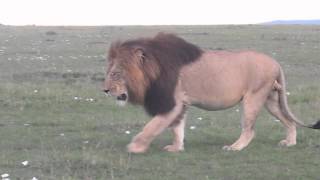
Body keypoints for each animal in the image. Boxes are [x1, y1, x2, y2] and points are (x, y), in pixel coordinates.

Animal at [104, 32, 318, 153]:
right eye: (108, 73)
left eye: (115, 73)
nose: (104, 90)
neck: (153, 68)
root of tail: (275, 62)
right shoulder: (181, 103)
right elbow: (177, 128)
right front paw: (176, 148)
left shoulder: (172, 102)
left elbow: (152, 126)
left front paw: (135, 147)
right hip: (271, 100)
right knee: (289, 121)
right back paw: (289, 143)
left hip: (253, 97)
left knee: (249, 130)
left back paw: (234, 147)